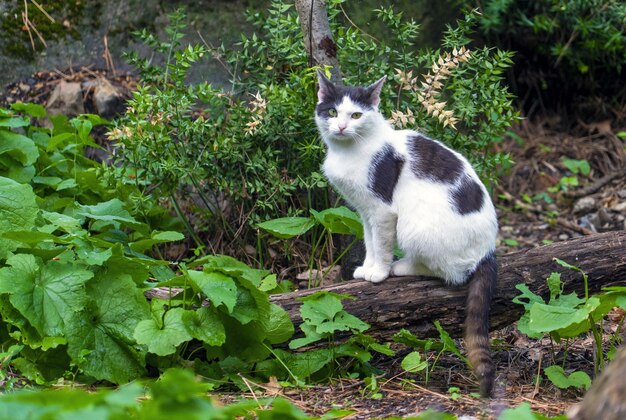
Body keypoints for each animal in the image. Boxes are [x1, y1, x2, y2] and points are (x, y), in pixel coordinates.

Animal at [316, 71, 498, 398]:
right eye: (333, 112)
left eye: (356, 115)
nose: (341, 127)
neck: (350, 151)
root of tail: (487, 250)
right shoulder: (365, 210)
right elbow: (370, 241)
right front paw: (367, 268)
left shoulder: (383, 210)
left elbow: (382, 243)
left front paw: (379, 273)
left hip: (415, 227)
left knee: (452, 274)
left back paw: (402, 267)